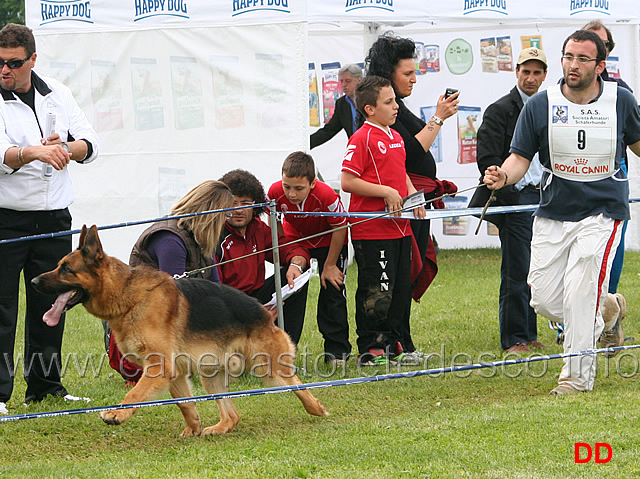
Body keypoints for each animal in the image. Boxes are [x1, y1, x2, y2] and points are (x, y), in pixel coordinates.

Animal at [31, 225, 328, 436]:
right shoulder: (173, 372)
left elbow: (135, 394)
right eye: (59, 266)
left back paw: (317, 408)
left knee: (299, 385)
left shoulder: (159, 366)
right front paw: (192, 429)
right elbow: (185, 403)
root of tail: (264, 312)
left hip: (266, 367)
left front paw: (117, 414)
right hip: (212, 376)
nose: (32, 281)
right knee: (232, 414)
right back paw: (219, 428)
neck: (128, 296)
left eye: (66, 269)